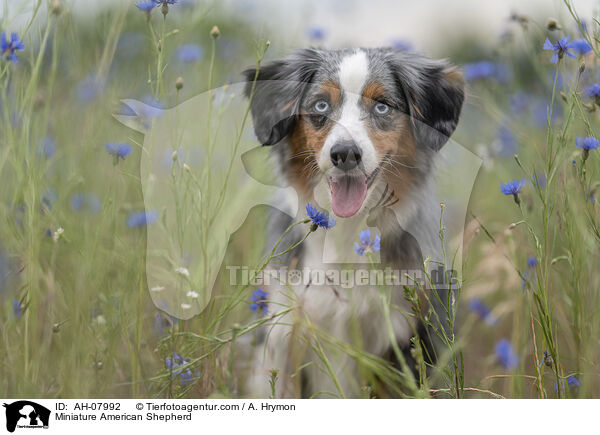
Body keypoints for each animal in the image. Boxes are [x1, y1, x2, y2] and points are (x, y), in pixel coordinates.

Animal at [240, 47, 464, 398]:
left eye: (382, 106)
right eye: (321, 105)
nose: (345, 154)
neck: (347, 233)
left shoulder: (408, 334)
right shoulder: (285, 329)